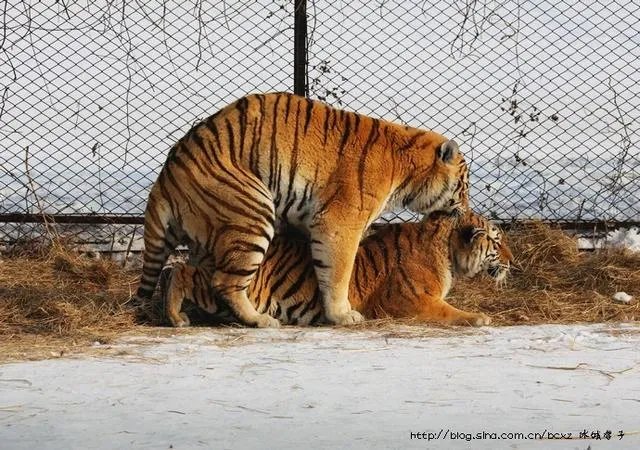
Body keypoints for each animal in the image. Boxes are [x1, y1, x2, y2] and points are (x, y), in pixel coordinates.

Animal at [136, 92, 470, 328]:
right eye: (464, 184)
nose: (465, 210)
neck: (406, 171)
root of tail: (166, 175)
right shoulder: (341, 221)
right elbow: (340, 271)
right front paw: (343, 315)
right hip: (252, 212)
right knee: (224, 282)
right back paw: (260, 320)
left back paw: (179, 315)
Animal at [162, 210, 512, 327]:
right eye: (497, 242)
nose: (512, 261)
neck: (448, 252)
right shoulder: (410, 301)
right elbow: (450, 312)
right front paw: (480, 318)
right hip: (229, 284)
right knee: (179, 273)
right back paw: (176, 318)